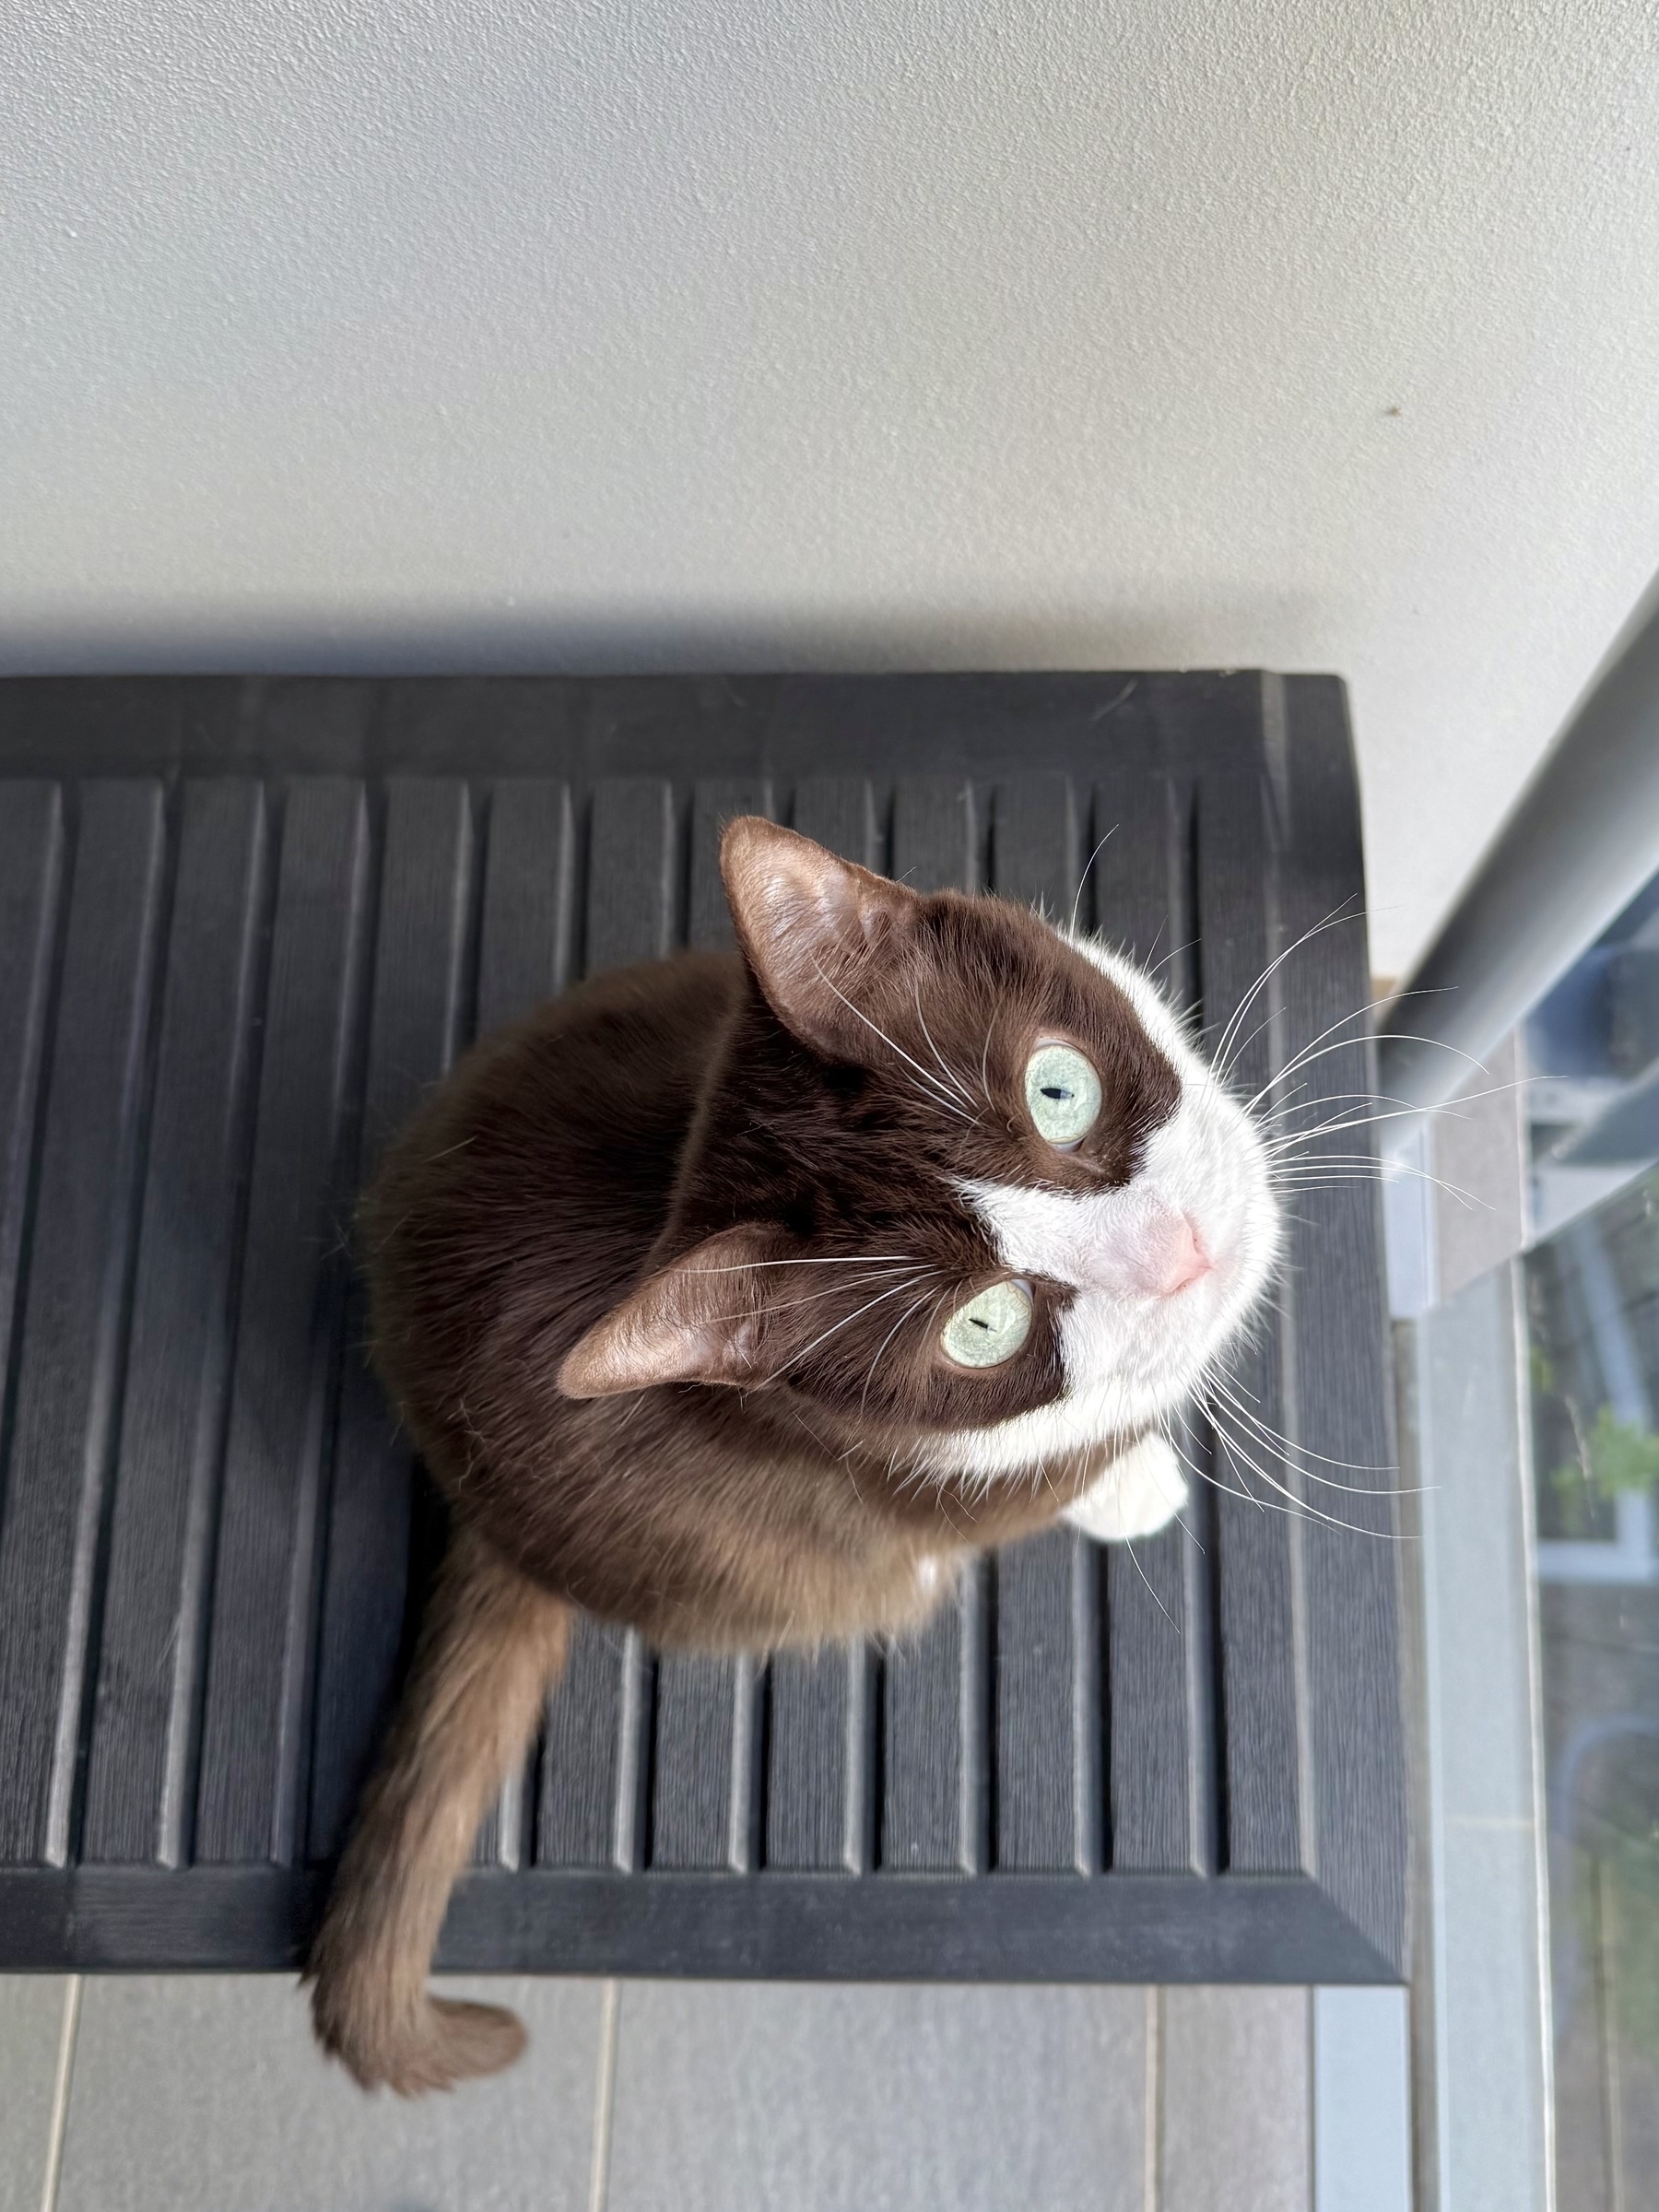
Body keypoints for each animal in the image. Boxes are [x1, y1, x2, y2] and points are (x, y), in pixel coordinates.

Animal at [305, 814, 1283, 2088]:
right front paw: (1132, 1479)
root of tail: (478, 1497)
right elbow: (1043, 1475)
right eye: (983, 1327)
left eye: (1057, 1090)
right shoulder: (919, 1477)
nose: (1183, 1256)